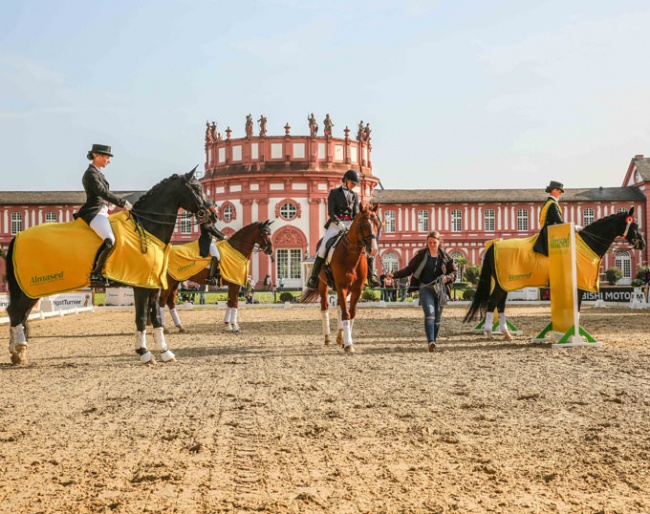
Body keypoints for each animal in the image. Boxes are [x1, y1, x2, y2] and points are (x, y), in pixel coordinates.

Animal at [6, 168, 214, 364]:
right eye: (197, 188)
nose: (213, 214)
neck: (146, 228)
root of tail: (18, 236)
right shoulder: (140, 286)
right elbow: (140, 318)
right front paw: (144, 353)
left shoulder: (153, 286)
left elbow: (157, 318)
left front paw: (165, 352)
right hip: (31, 287)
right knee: (16, 313)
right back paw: (18, 350)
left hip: (32, 289)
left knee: (19, 313)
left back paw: (17, 352)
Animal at [298, 202, 380, 350]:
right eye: (362, 224)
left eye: (377, 222)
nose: (373, 250)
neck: (351, 255)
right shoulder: (341, 286)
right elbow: (346, 314)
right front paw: (348, 345)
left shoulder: (356, 289)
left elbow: (350, 313)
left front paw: (346, 341)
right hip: (323, 285)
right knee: (325, 307)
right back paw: (327, 338)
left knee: (339, 308)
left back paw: (340, 338)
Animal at [460, 206, 644, 338]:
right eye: (633, 224)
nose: (641, 243)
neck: (586, 244)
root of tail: (495, 245)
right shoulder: (579, 286)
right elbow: (576, 311)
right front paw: (575, 335)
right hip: (503, 283)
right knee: (493, 302)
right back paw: (489, 331)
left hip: (504, 283)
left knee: (500, 304)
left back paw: (506, 333)